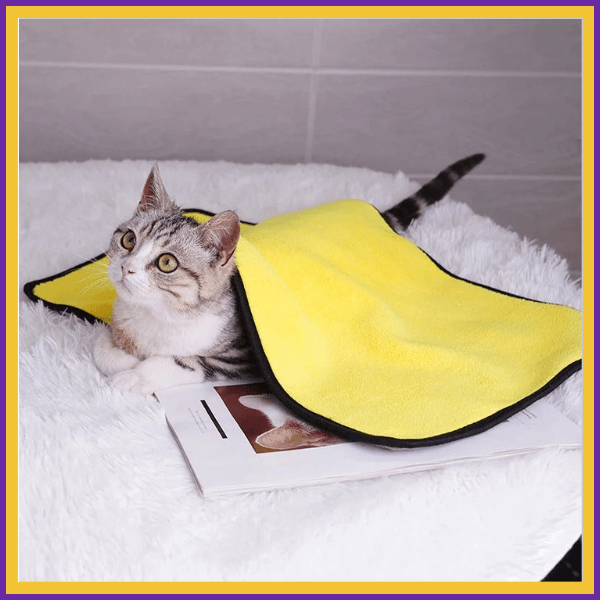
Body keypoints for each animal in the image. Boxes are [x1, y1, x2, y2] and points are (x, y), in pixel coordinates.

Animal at [95, 152, 488, 394]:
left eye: (166, 263)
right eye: (128, 240)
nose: (126, 267)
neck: (156, 316)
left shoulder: (239, 355)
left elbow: (181, 360)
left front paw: (132, 377)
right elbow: (106, 347)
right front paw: (118, 354)